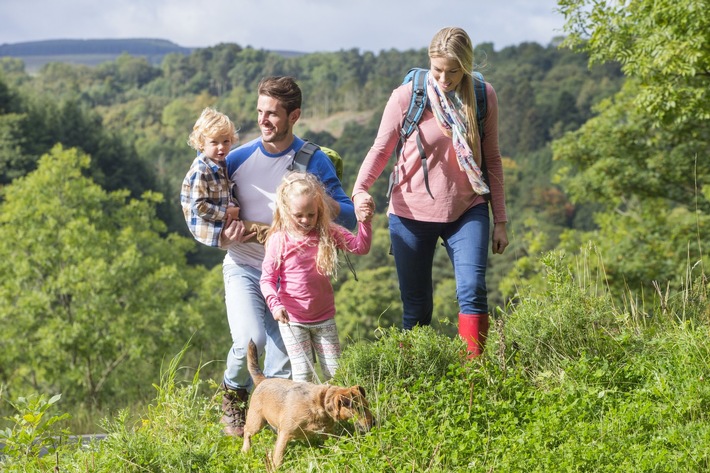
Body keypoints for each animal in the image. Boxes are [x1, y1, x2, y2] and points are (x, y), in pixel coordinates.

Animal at [242, 338, 376, 466]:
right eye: (359, 408)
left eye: (367, 406)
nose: (374, 423)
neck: (321, 403)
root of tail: (263, 380)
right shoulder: (285, 433)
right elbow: (278, 457)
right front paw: (276, 468)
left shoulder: (328, 434)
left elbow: (335, 446)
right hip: (256, 422)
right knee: (246, 431)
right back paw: (245, 450)